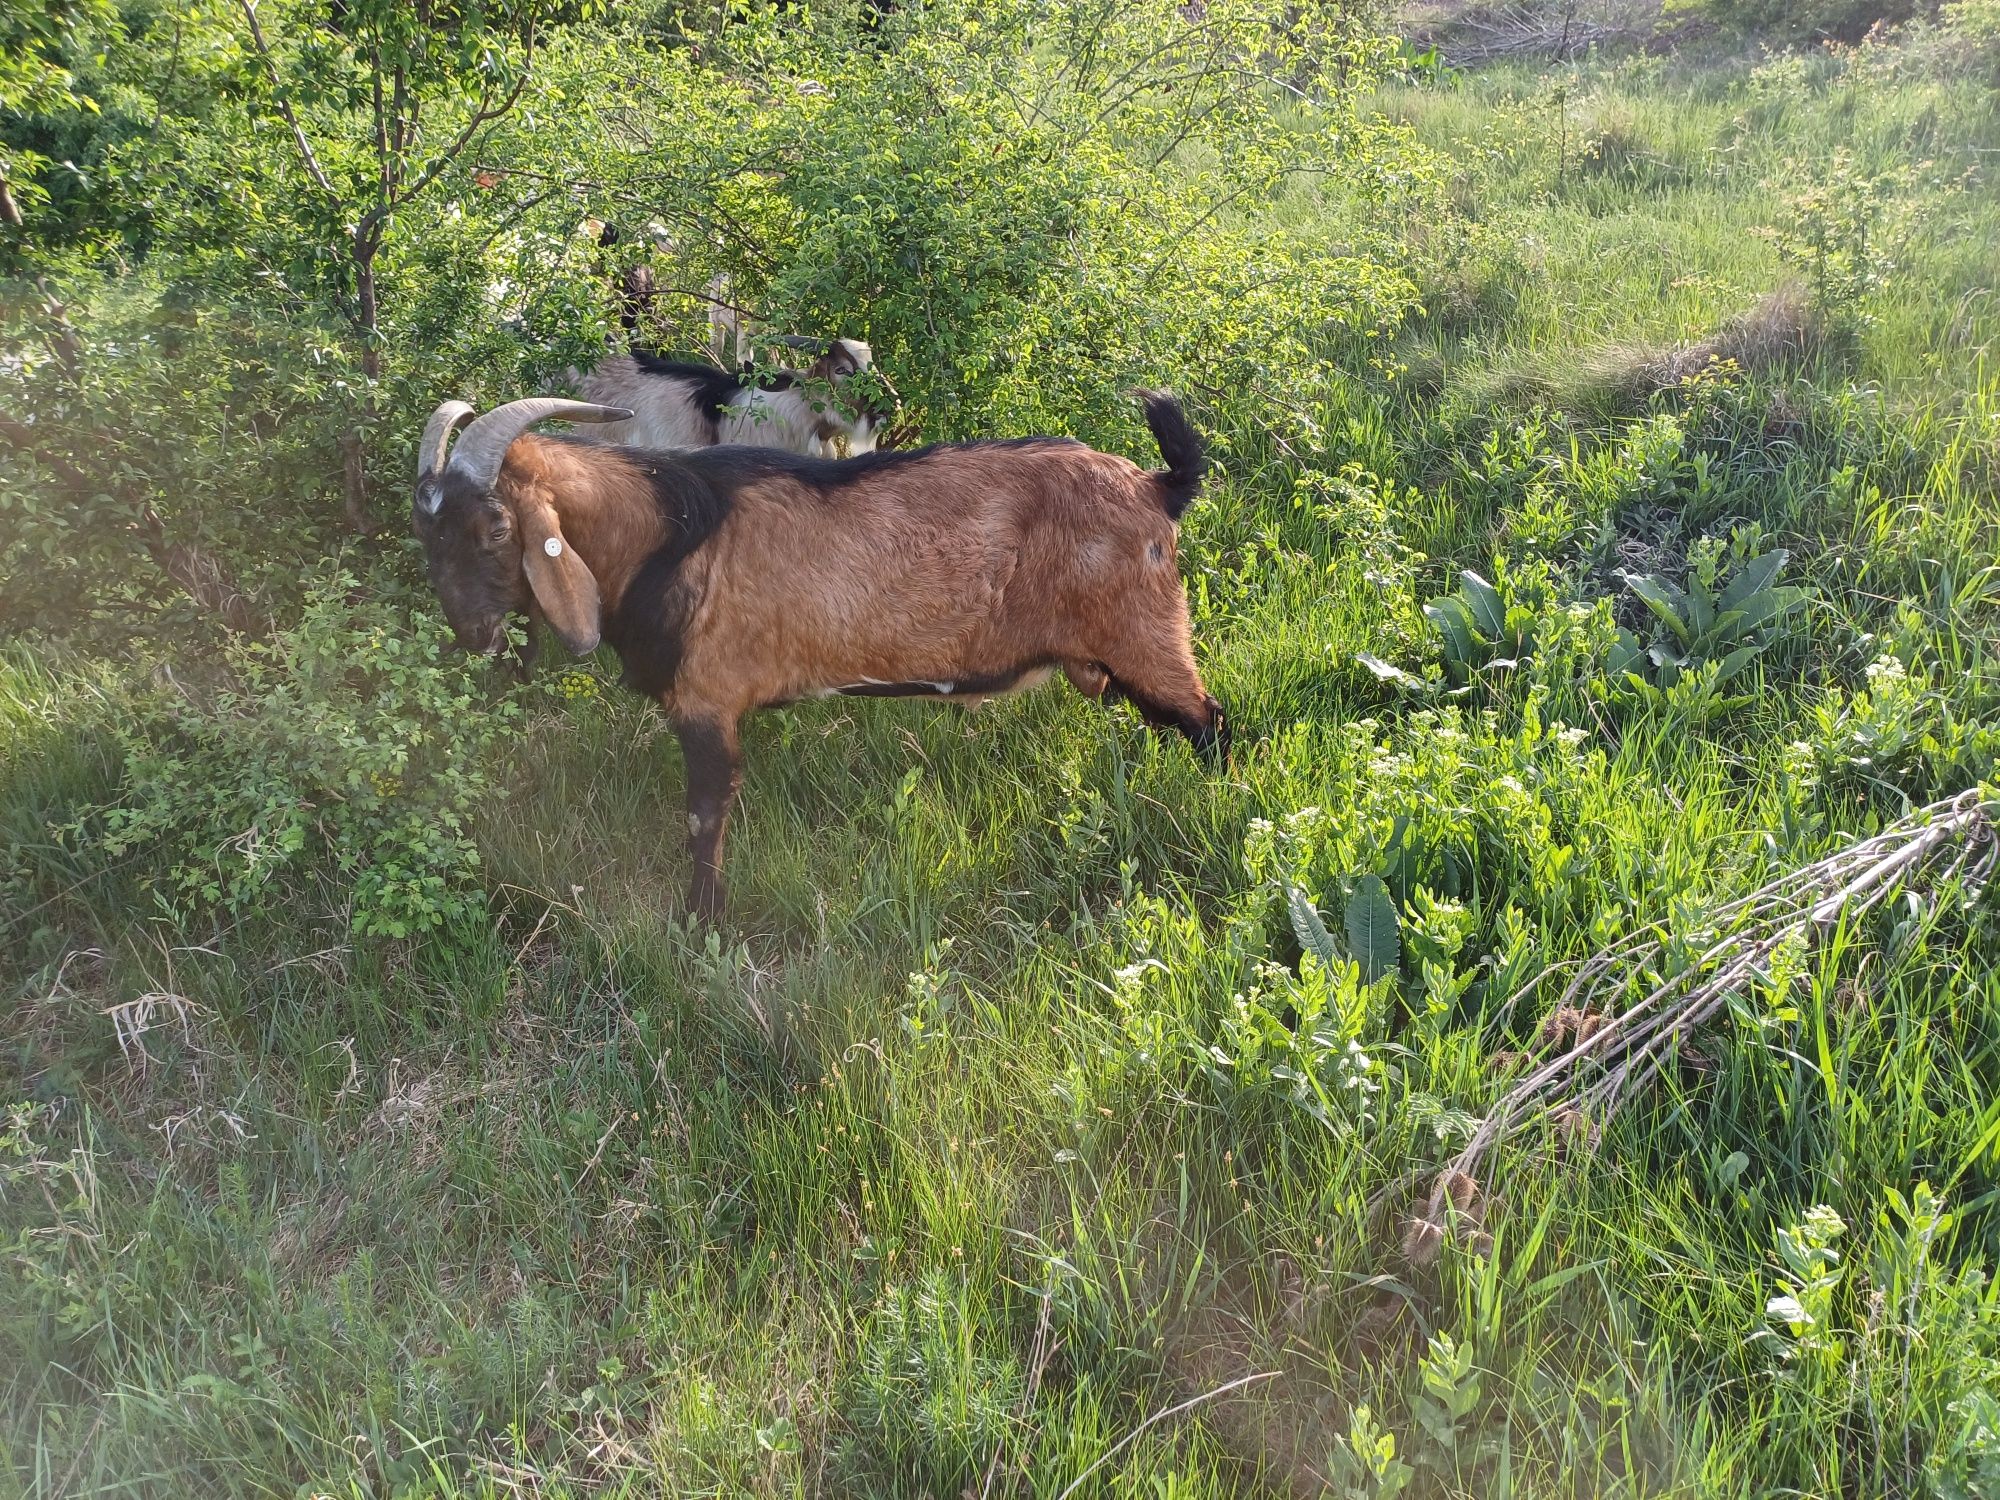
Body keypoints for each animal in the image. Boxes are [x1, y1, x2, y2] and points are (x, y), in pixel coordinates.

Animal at [410, 394, 1216, 924]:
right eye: (427, 534)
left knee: (1210, 722)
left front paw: (701, 924)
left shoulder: (708, 701)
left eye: (495, 528)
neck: (666, 533)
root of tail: (1158, 487)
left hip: (1149, 634)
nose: (471, 633)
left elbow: (706, 816)